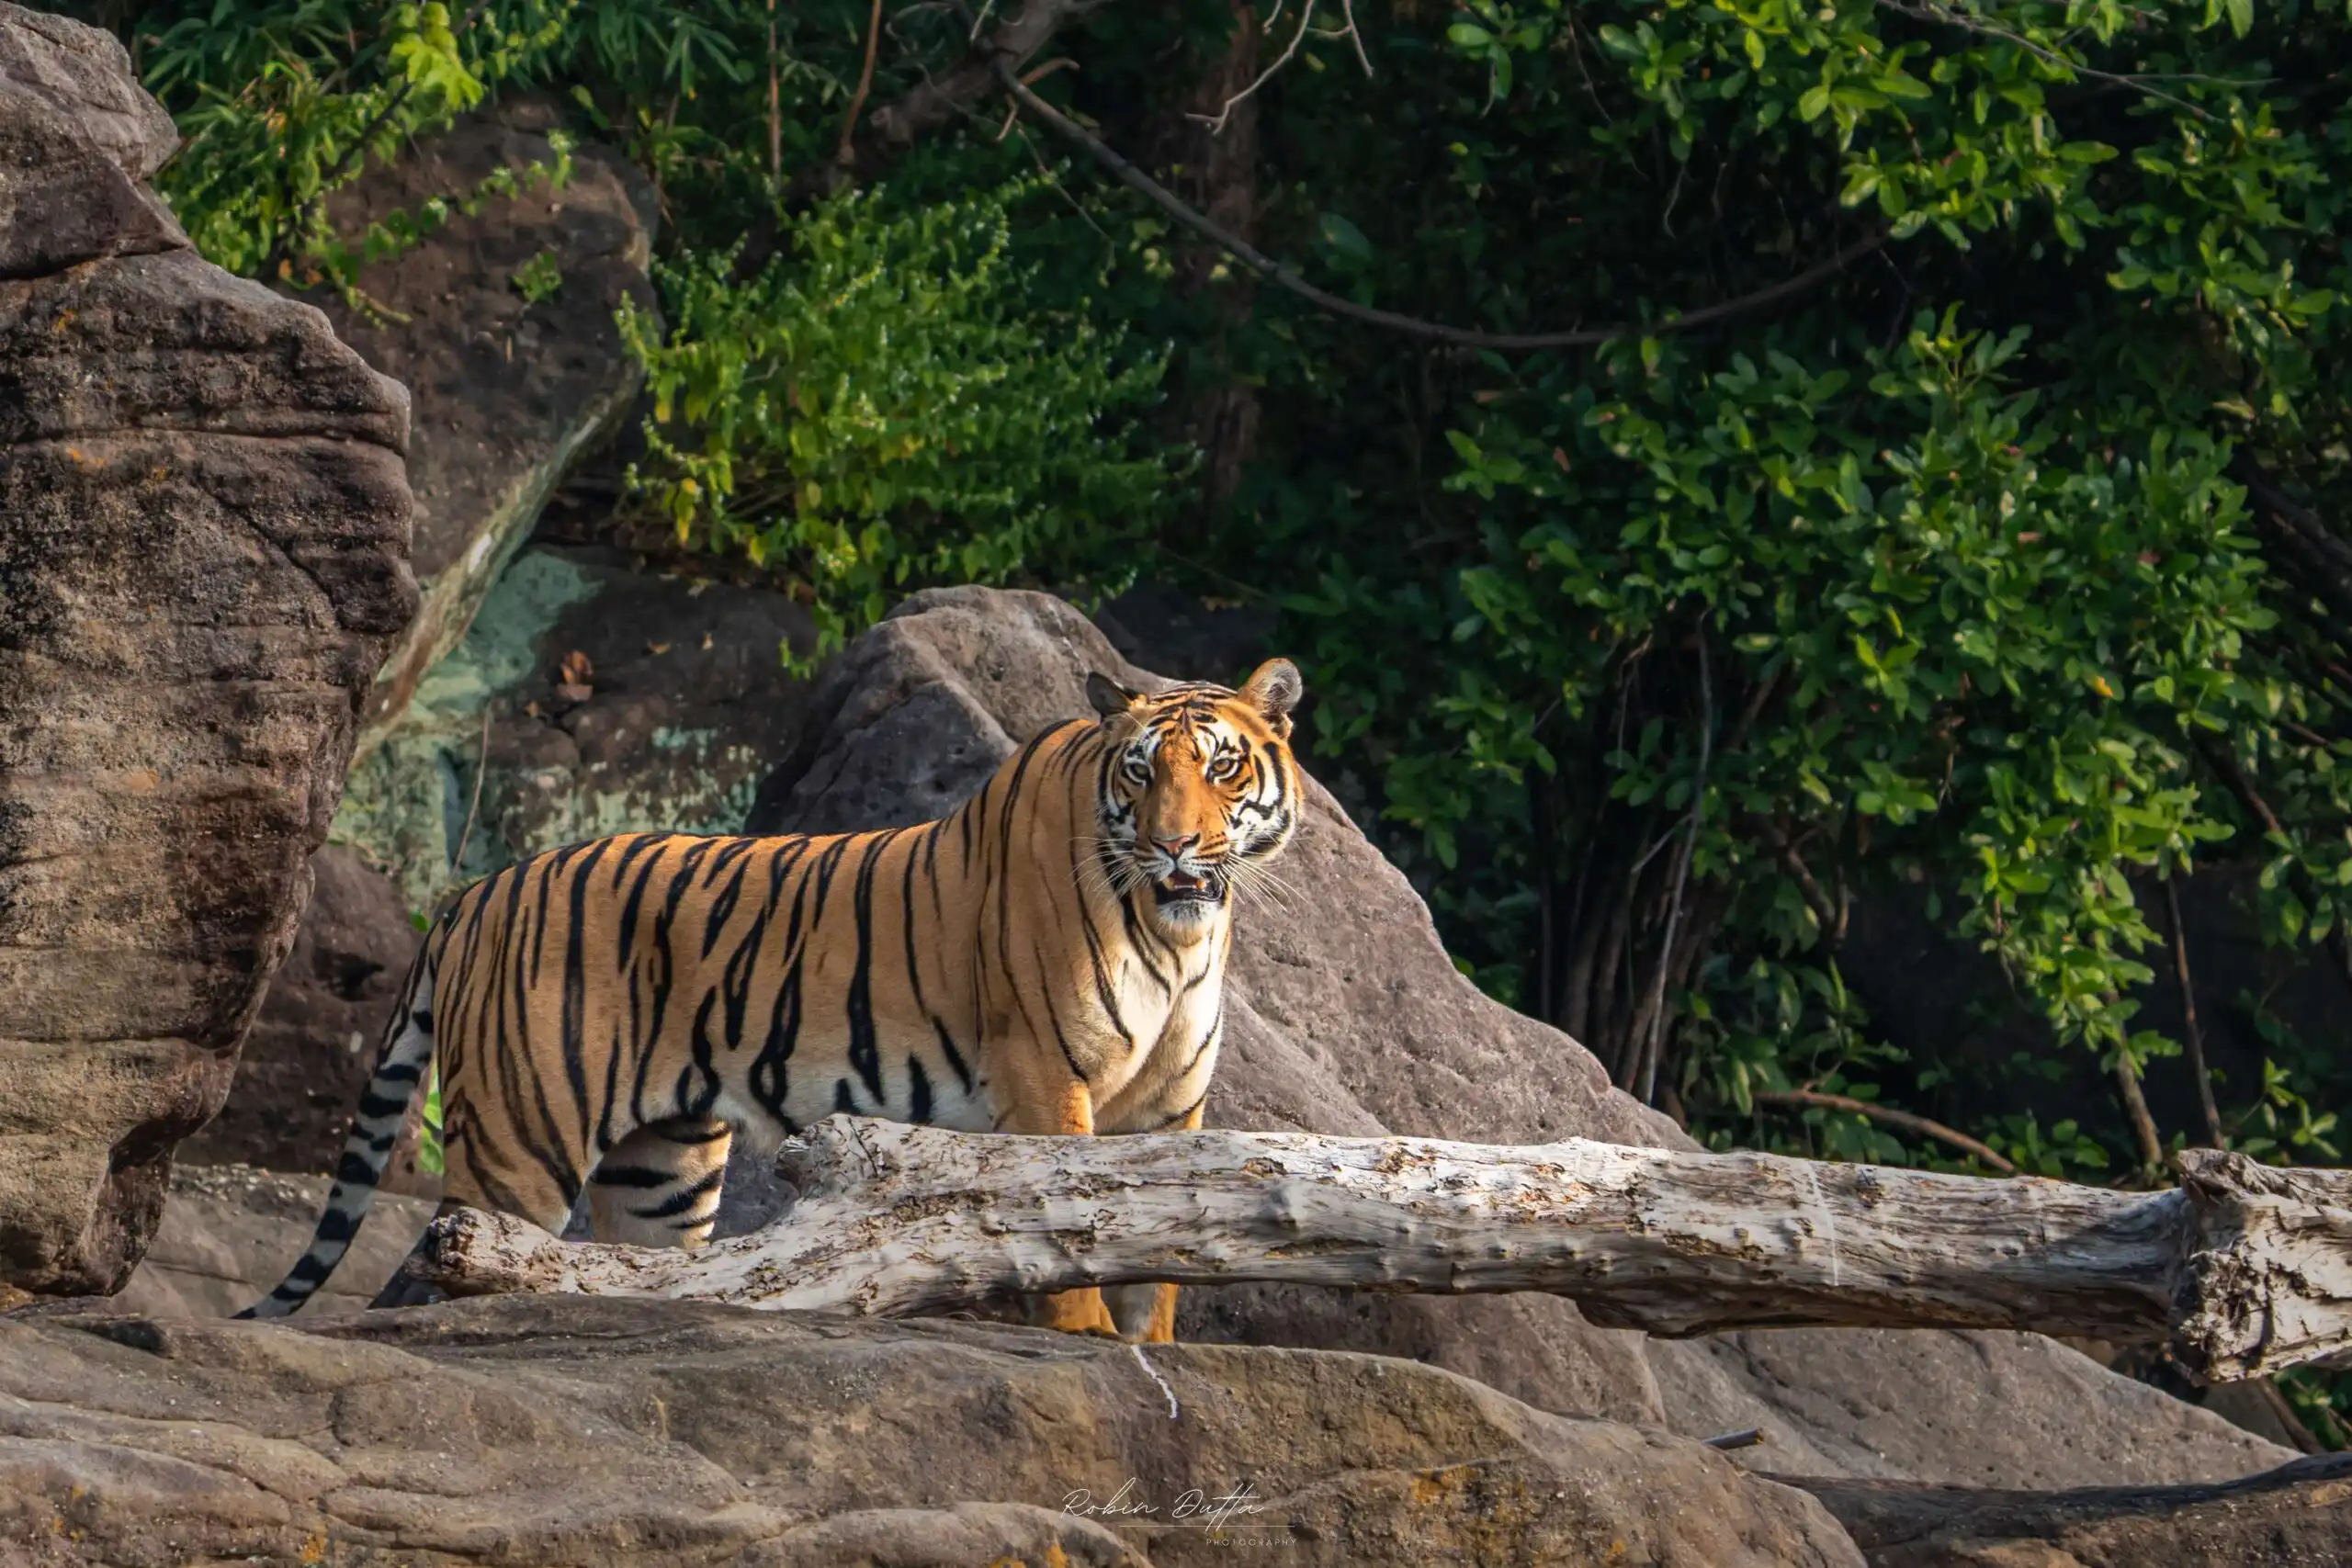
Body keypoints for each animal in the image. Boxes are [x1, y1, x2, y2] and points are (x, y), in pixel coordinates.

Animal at [239, 658, 1304, 1342]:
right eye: (1142, 770)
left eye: (1220, 765)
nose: (1174, 844)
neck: (1175, 935)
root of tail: (474, 892)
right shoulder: (1046, 1077)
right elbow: (1072, 1225)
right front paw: (1085, 1340)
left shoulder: (1167, 1109)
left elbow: (1161, 1256)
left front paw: (1152, 1353)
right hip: (518, 1141)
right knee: (460, 1261)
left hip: (661, 1166)